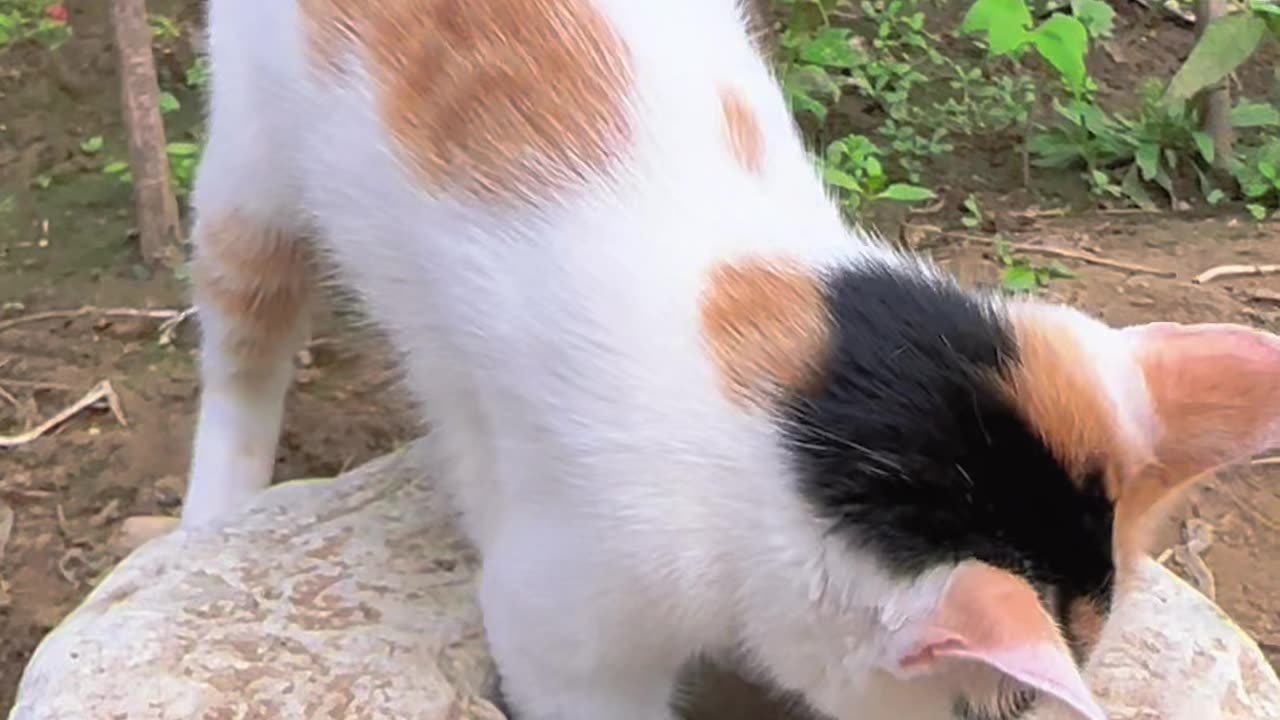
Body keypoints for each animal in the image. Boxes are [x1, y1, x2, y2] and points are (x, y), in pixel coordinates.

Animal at [180, 1, 1280, 717]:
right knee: (243, 337)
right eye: (991, 708)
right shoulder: (568, 617)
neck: (793, 389)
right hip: (247, 160)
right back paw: (212, 516)